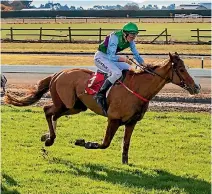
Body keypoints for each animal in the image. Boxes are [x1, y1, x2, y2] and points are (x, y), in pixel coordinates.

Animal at [4, 52, 200, 164]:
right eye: (181, 69)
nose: (196, 87)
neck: (137, 88)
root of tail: (58, 73)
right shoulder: (113, 119)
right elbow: (105, 143)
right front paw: (84, 142)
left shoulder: (131, 123)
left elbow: (125, 144)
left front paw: (125, 163)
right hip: (66, 103)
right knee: (47, 110)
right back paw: (49, 139)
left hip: (75, 107)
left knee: (52, 114)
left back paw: (47, 136)